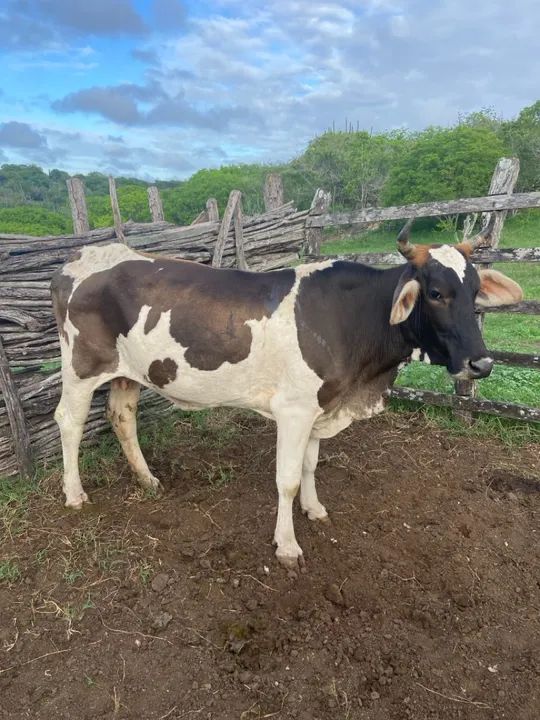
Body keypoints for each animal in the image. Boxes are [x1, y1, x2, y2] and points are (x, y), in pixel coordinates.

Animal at [51, 223, 523, 568]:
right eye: (436, 293)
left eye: (474, 290)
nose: (481, 364)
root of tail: (81, 256)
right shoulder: (294, 409)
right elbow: (288, 479)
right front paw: (288, 546)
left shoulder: (322, 404)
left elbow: (311, 466)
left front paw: (314, 509)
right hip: (80, 366)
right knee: (69, 421)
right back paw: (73, 494)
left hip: (127, 371)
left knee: (122, 414)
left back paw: (147, 479)